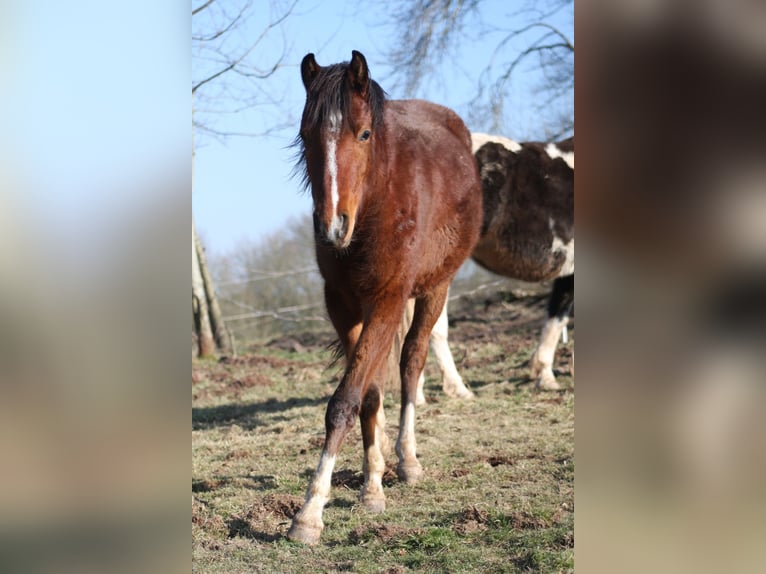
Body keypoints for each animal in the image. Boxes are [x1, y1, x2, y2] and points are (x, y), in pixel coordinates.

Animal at [287, 50, 483, 545]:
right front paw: (371, 486)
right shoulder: (342, 305)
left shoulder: (389, 300)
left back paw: (408, 460)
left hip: (435, 288)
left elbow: (344, 402)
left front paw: (309, 513)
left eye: (364, 133)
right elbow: (367, 394)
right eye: (306, 134)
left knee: (413, 361)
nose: (332, 226)